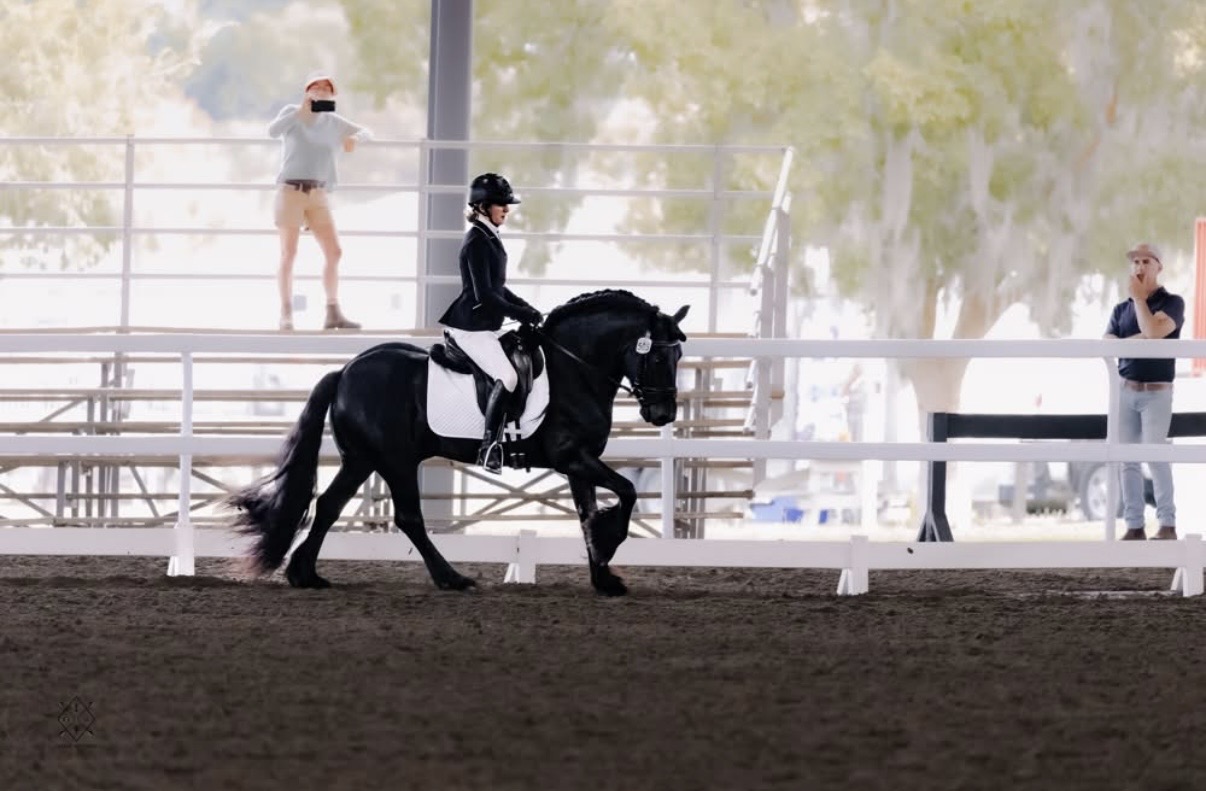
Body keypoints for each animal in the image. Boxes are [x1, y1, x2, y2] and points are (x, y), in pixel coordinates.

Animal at [227, 289, 689, 596]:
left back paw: (305, 574)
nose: (662, 414)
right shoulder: (571, 456)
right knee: (408, 518)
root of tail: (345, 371)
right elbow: (626, 492)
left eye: (679, 356)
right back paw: (451, 578)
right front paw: (609, 543)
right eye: (656, 355)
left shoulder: (580, 462)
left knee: (328, 506)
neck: (573, 368)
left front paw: (604, 576)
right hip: (395, 460)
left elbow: (587, 513)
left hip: (361, 459)